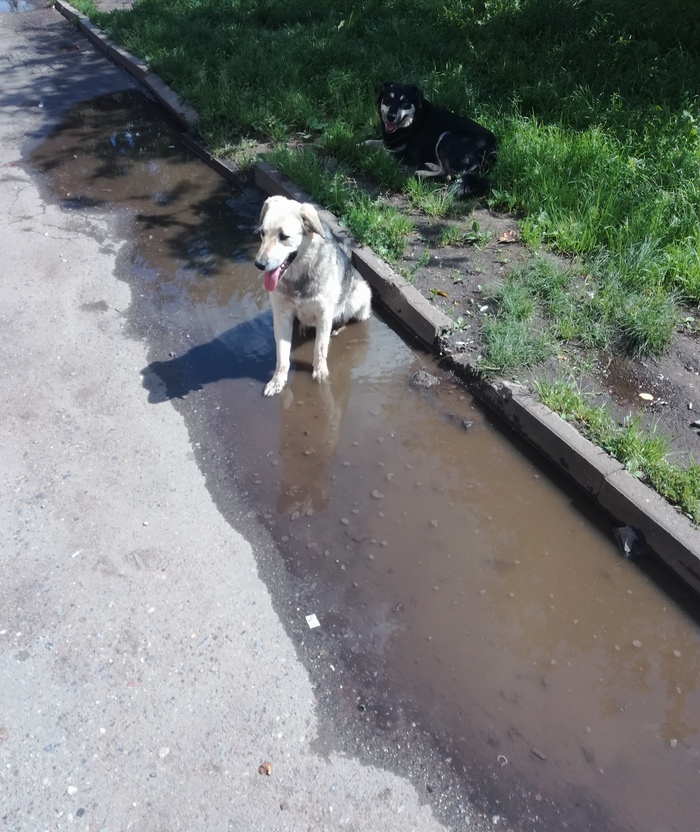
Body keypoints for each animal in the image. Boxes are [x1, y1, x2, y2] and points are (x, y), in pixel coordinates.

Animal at [254, 198, 374, 400]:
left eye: (283, 236)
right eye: (262, 233)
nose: (259, 264)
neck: (298, 278)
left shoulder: (324, 314)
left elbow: (320, 347)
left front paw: (320, 372)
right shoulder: (281, 315)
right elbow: (282, 355)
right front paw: (278, 381)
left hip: (359, 294)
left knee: (346, 317)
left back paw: (338, 327)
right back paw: (303, 326)